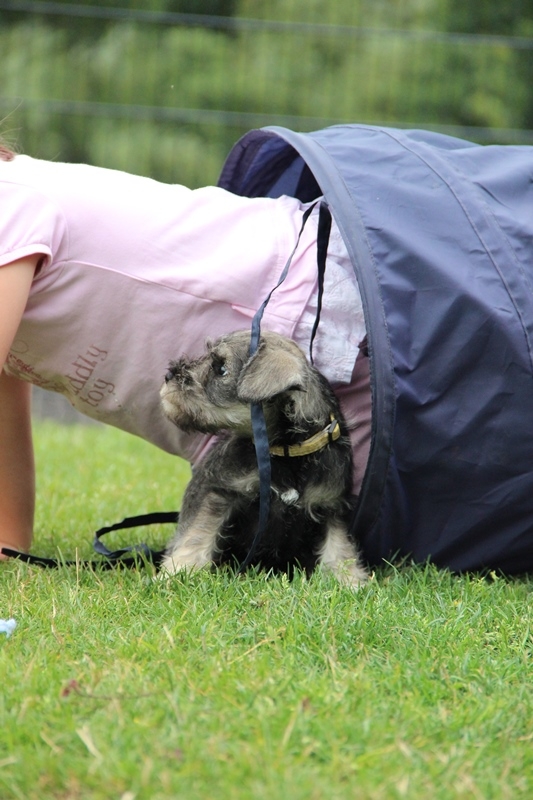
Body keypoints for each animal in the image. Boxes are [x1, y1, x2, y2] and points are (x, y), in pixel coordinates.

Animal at [158, 326, 366, 588]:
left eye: (221, 368)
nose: (169, 375)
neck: (286, 451)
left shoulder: (331, 505)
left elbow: (338, 545)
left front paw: (348, 580)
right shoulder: (220, 491)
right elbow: (198, 532)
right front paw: (179, 571)